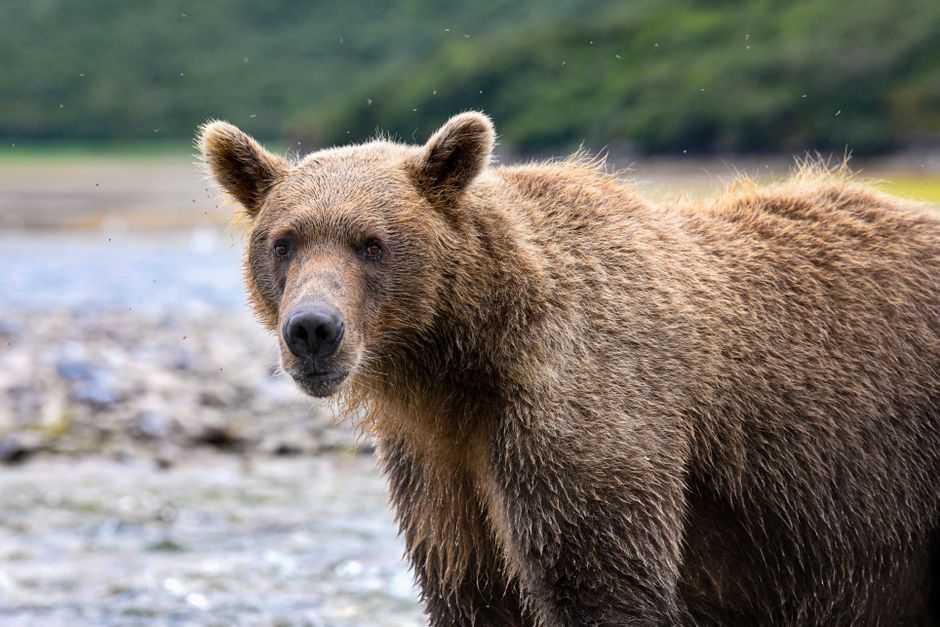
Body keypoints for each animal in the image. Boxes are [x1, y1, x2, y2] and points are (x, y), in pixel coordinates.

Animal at [198, 112, 940, 626]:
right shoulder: (439, 465)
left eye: (372, 243)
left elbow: (596, 575)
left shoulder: (583, 412)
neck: (458, 365)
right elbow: (471, 587)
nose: (312, 330)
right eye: (284, 241)